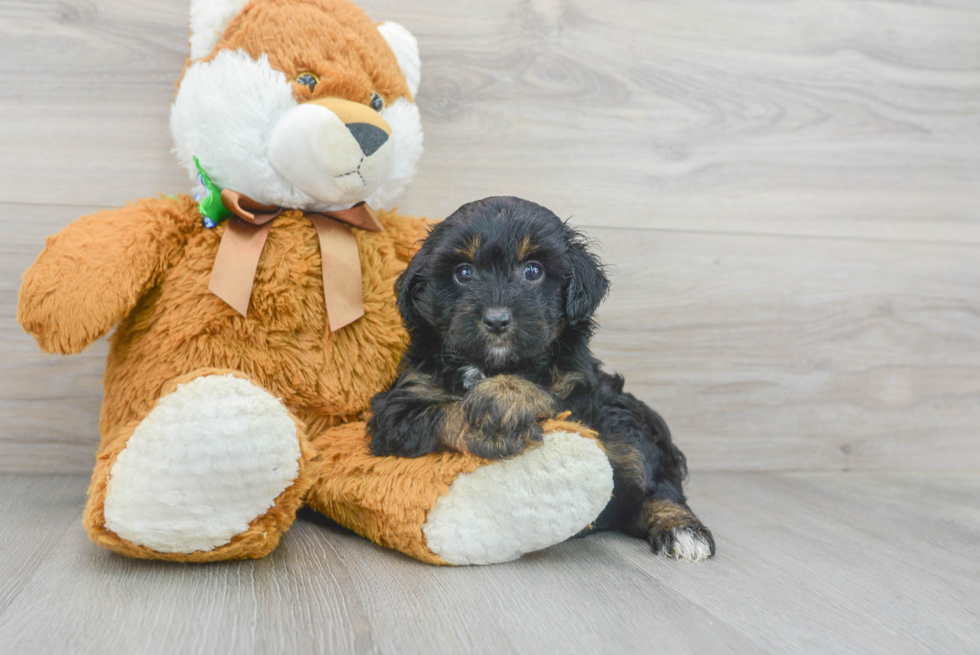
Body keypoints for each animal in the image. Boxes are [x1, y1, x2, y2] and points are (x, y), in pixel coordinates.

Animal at [368, 197, 712, 560]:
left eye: (533, 271)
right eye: (463, 273)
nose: (496, 320)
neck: (492, 364)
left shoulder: (579, 389)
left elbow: (549, 394)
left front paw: (504, 396)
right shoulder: (398, 408)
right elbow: (437, 412)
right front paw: (488, 424)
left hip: (626, 421)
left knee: (647, 475)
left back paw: (681, 528)